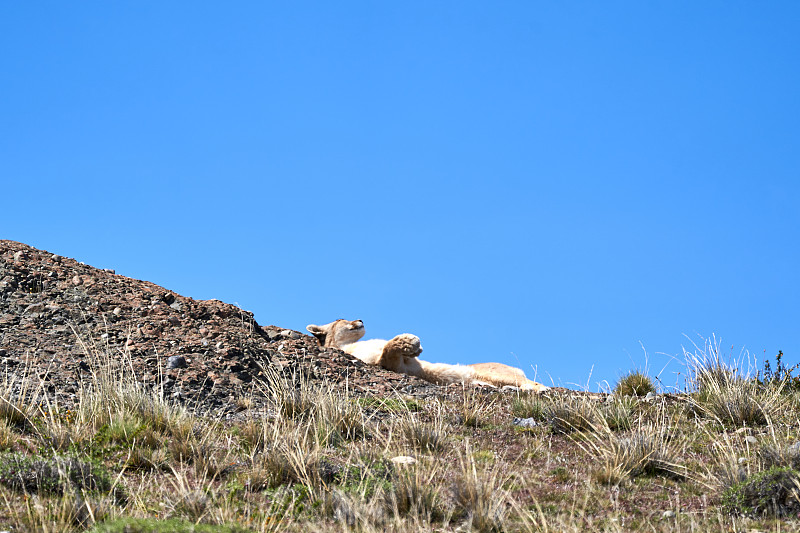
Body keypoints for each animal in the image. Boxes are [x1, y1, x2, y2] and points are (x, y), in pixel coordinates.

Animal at [306, 320, 552, 390]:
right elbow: (388, 352)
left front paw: (414, 346)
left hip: (497, 373)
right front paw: (409, 341)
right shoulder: (393, 365)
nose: (360, 319)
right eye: (342, 318)